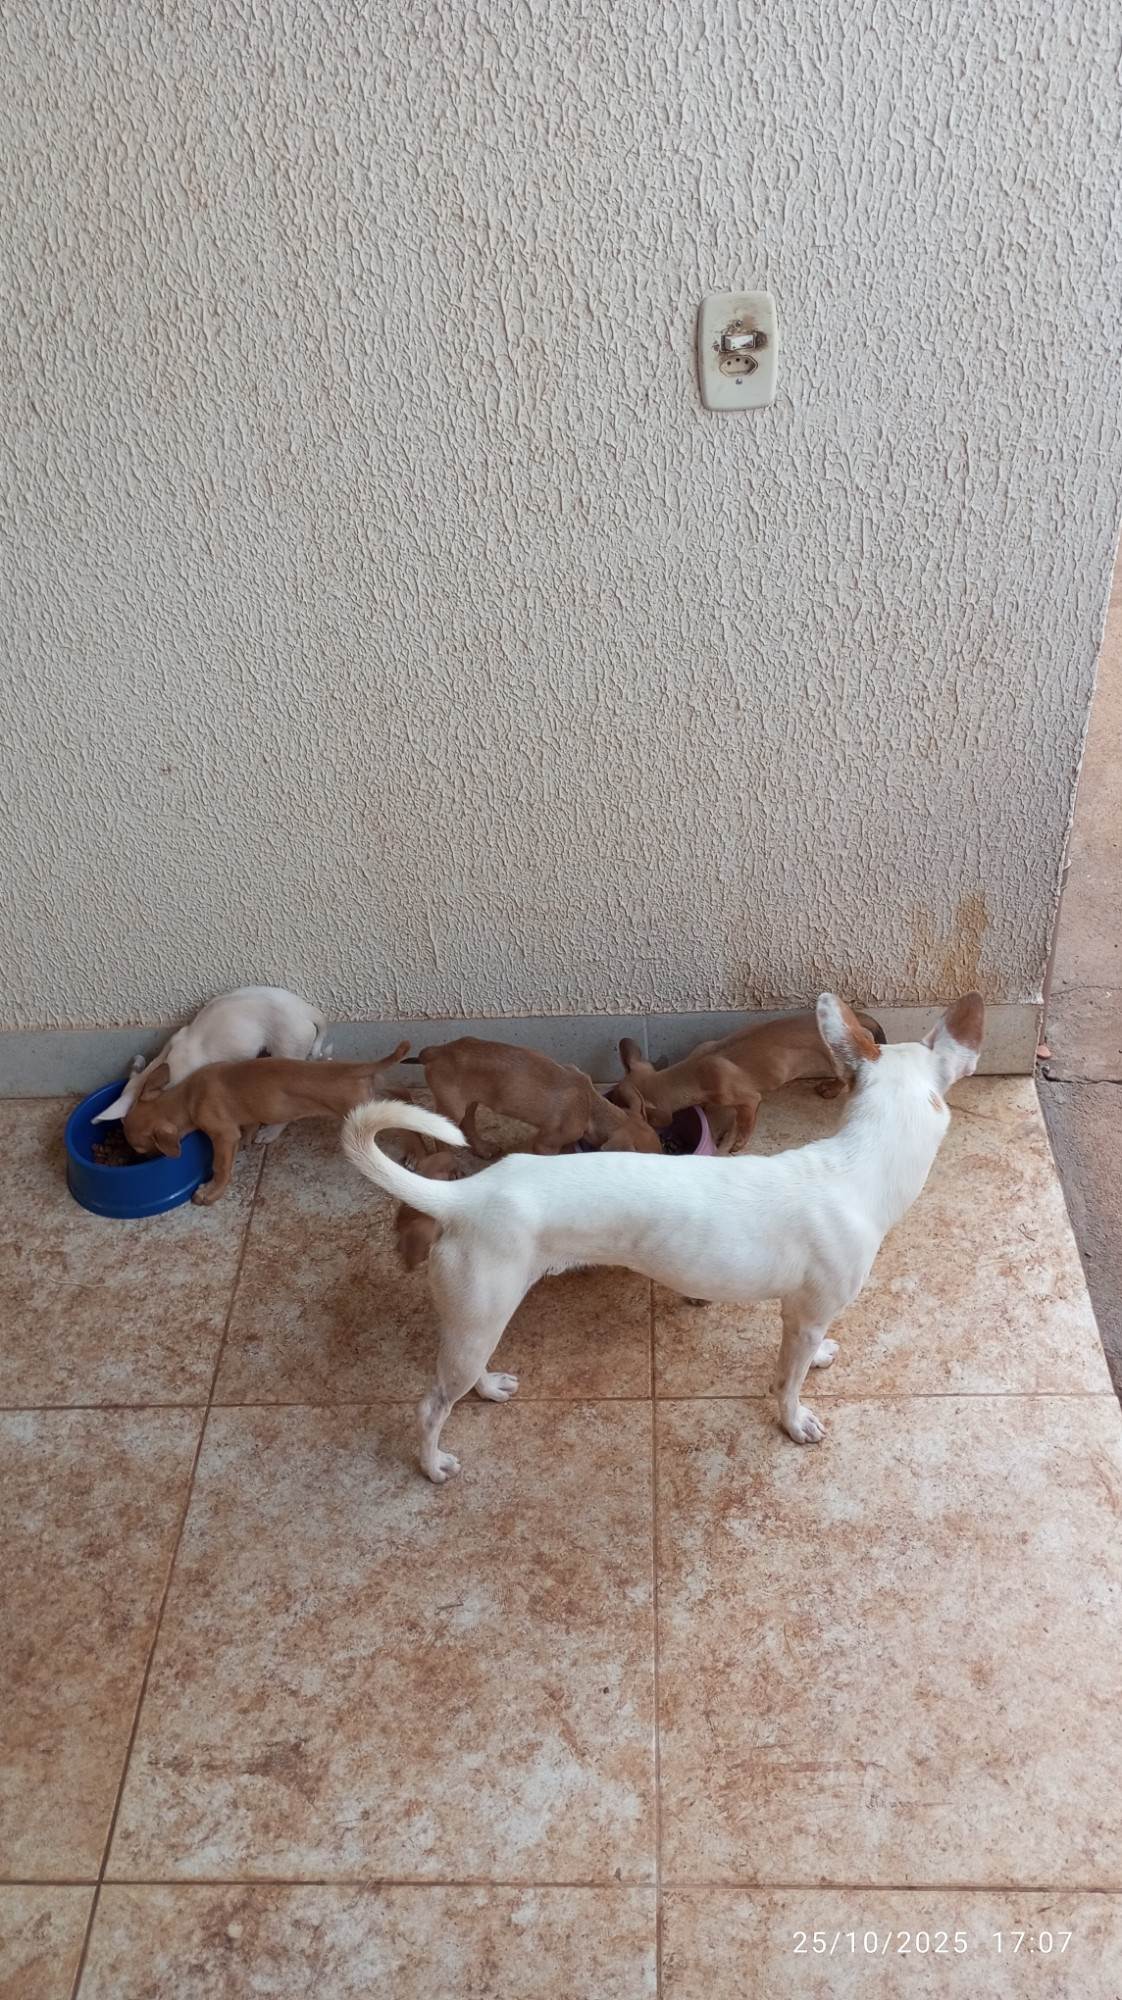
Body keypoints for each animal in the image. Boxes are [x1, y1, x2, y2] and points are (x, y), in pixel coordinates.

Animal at [124, 1047, 410, 1204]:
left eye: (139, 1150)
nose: (137, 1160)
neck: (186, 1097)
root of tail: (357, 1068)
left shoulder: (223, 1135)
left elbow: (221, 1167)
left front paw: (211, 1192)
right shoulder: (244, 1118)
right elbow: (249, 1126)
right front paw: (249, 1139)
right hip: (379, 1092)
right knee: (404, 1096)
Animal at [402, 1036, 661, 1157]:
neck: (590, 1106)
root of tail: (436, 1051)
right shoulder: (545, 1144)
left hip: (470, 1101)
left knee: (468, 1124)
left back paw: (483, 1149)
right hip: (452, 1107)